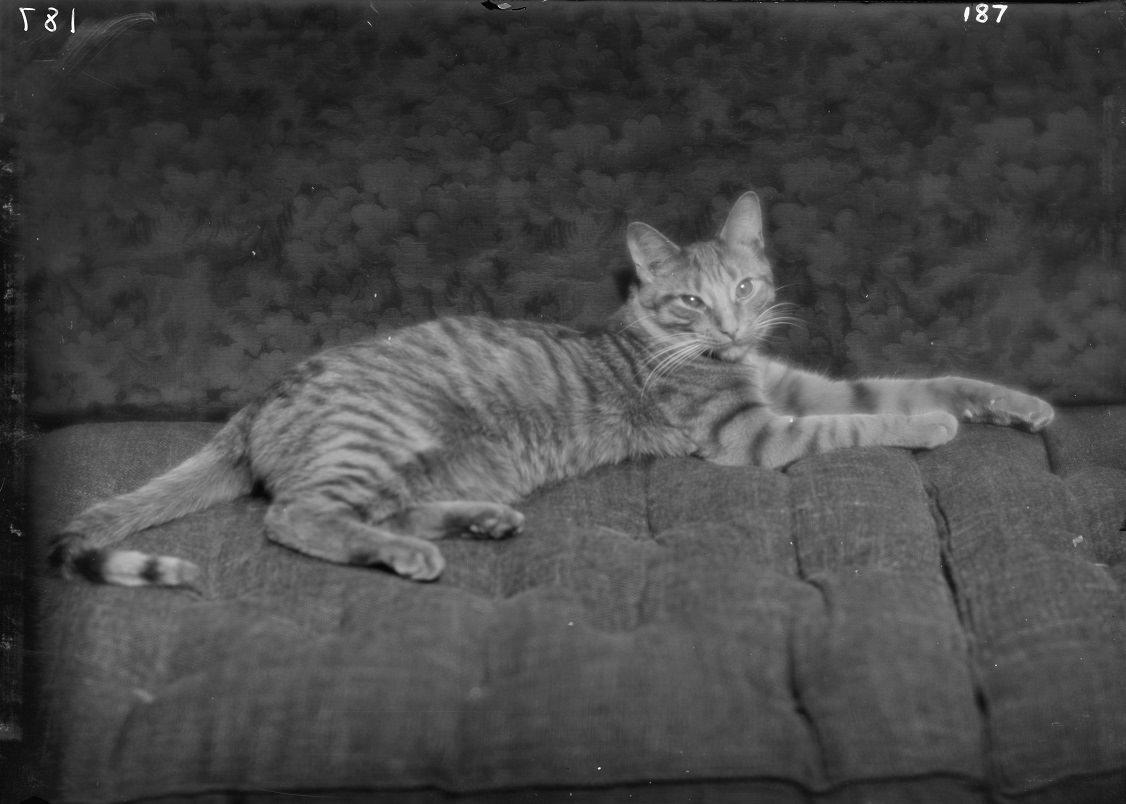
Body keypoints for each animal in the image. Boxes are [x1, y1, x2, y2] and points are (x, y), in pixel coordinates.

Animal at [48, 191, 1053, 585]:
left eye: (745, 287)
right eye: (690, 301)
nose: (731, 328)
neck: (712, 358)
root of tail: (254, 404)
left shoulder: (793, 385)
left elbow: (912, 382)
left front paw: (1012, 403)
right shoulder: (754, 435)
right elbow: (867, 427)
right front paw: (934, 428)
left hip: (417, 465)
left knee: (359, 509)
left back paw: (476, 523)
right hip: (376, 441)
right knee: (295, 518)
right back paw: (410, 552)